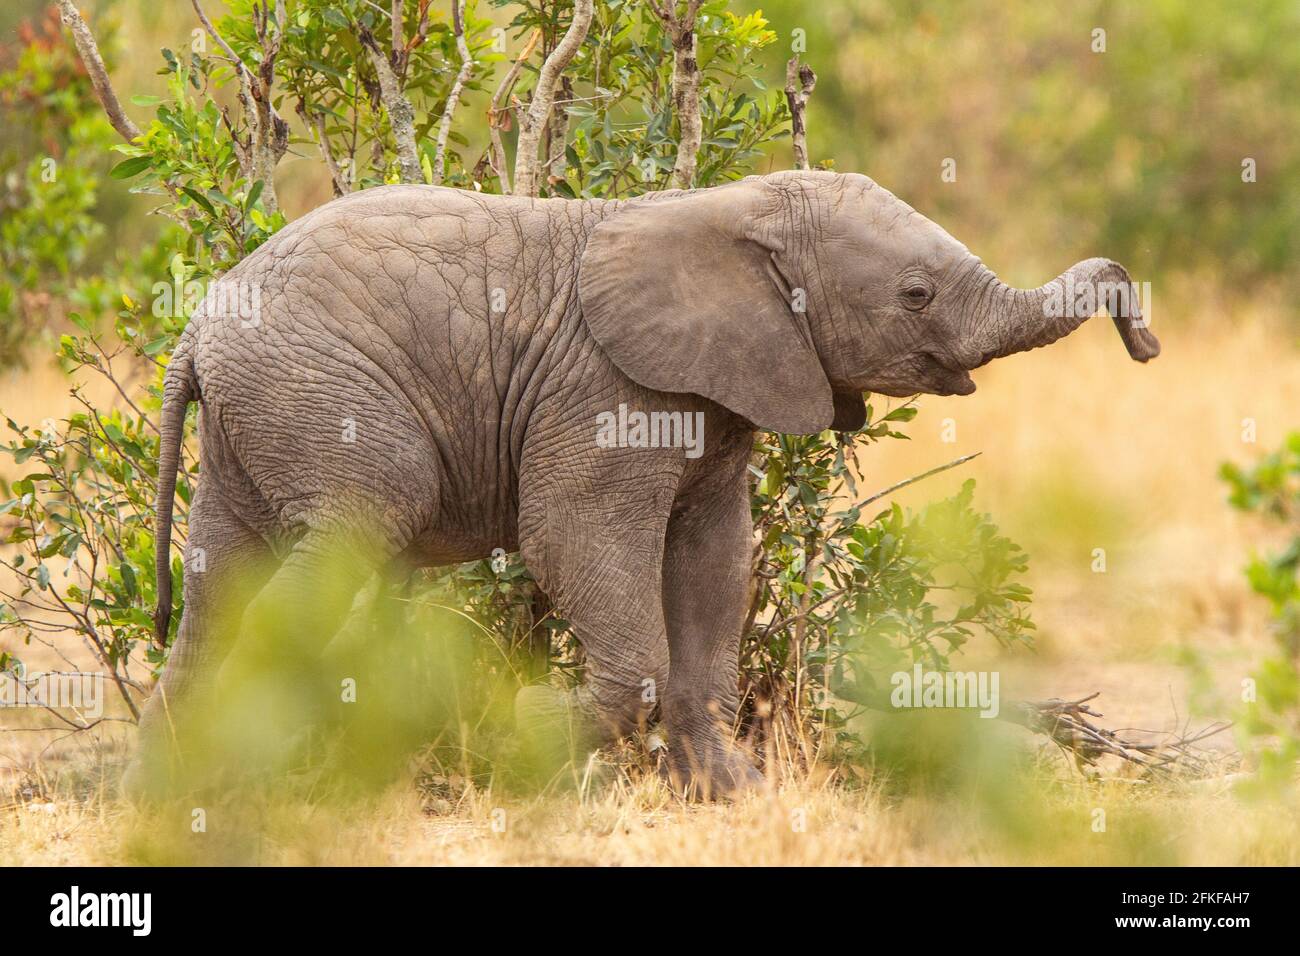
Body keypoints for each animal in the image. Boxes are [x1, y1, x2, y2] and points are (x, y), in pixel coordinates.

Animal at [129, 169, 1159, 798]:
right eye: (916, 296)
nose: (1145, 337)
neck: (731, 209)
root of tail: (193, 331)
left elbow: (713, 563)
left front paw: (735, 795)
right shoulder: (606, 389)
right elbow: (570, 538)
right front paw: (519, 735)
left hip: (257, 417)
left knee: (219, 580)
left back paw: (173, 793)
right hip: (320, 395)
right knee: (355, 528)